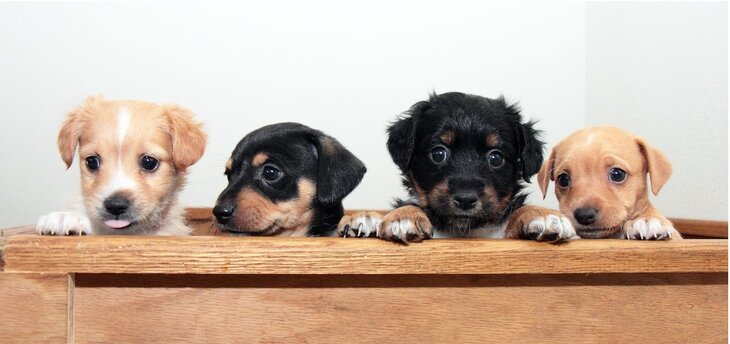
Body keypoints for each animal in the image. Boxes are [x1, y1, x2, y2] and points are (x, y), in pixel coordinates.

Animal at [336, 91, 576, 242]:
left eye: (496, 158)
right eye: (438, 153)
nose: (466, 199)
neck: (463, 230)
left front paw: (543, 215)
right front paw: (402, 216)